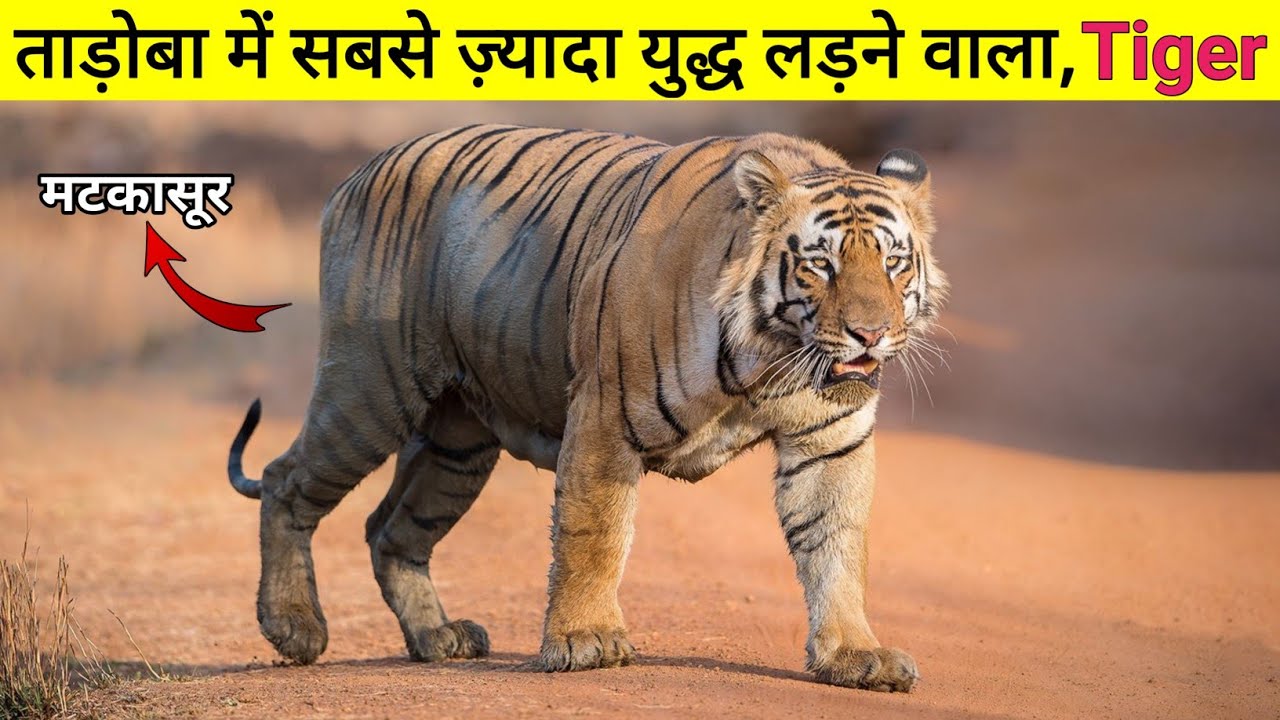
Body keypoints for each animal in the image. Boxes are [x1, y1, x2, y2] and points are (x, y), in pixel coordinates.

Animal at [226, 124, 945, 692]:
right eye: (820, 265)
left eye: (894, 264)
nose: (871, 334)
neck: (769, 357)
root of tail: (356, 175)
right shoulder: (606, 416)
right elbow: (593, 536)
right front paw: (586, 642)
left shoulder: (831, 440)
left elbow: (836, 545)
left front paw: (853, 654)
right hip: (370, 387)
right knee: (287, 480)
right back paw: (294, 626)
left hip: (458, 444)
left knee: (390, 528)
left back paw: (438, 637)